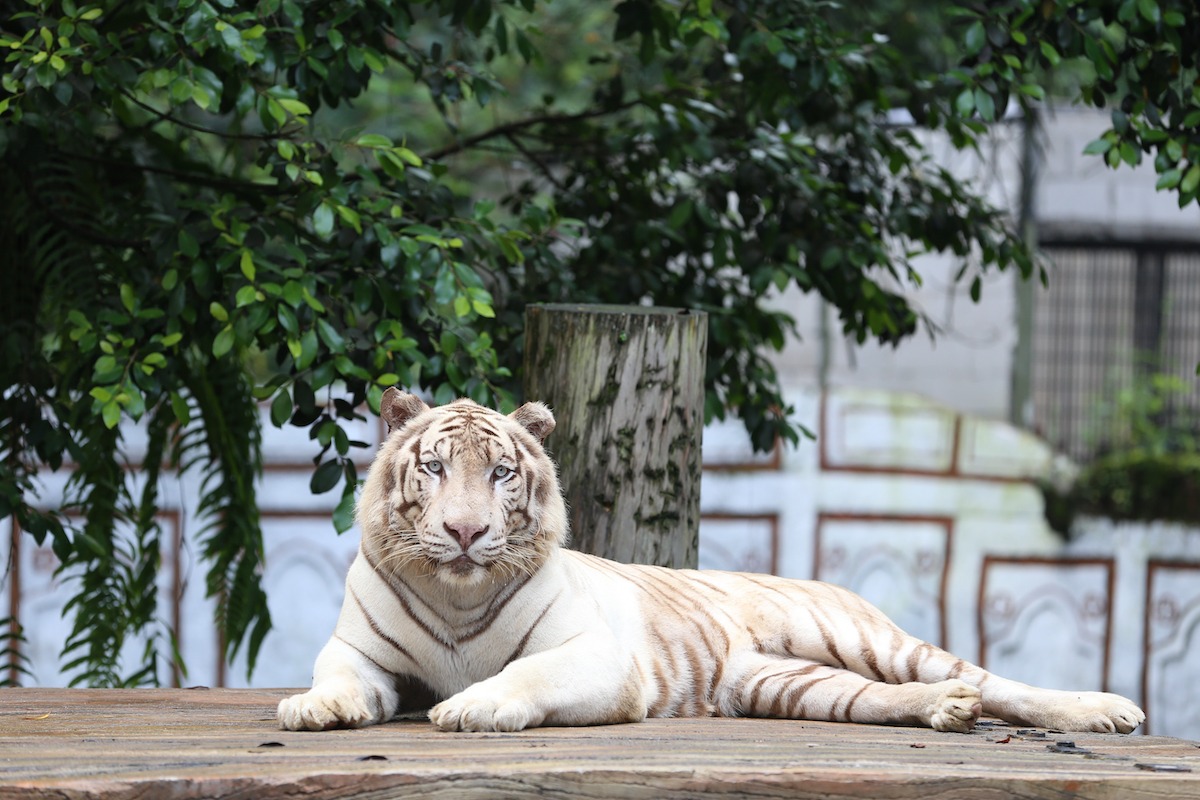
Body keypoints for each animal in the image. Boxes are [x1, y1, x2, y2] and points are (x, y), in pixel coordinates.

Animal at [276, 391, 1147, 734]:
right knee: (893, 698)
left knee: (990, 678)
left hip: (865, 638)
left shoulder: (598, 656)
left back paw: (1104, 710)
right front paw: (314, 708)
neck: (457, 592)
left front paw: (473, 706)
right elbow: (337, 675)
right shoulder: (359, 648)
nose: (463, 532)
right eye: (432, 469)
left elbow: (524, 674)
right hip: (787, 684)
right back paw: (945, 713)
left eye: (498, 473)